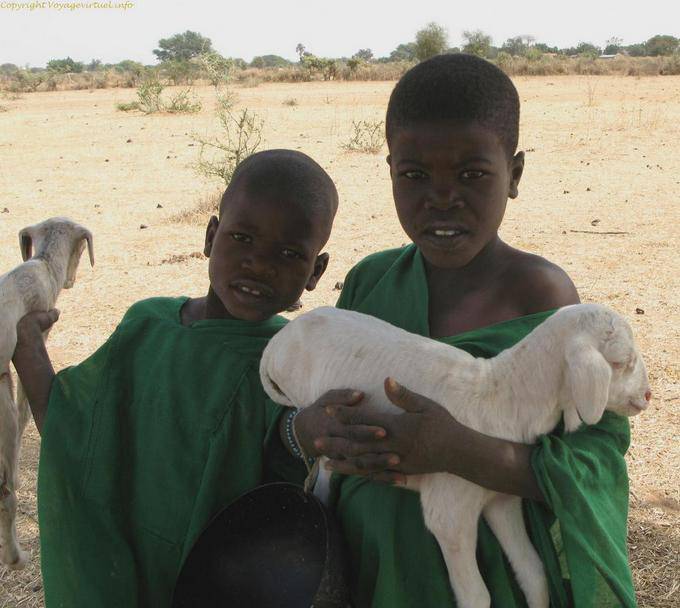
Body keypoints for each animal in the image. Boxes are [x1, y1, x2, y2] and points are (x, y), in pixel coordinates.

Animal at [0, 217, 93, 569]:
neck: (41, 264)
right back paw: (15, 557)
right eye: (80, 248)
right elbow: (25, 407)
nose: (71, 281)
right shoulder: (34, 334)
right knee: (6, 495)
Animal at [260, 304, 651, 608]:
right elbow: (476, 596)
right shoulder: (450, 513)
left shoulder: (500, 498)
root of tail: (277, 342)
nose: (646, 395)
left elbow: (533, 571)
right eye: (622, 361)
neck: (502, 397)